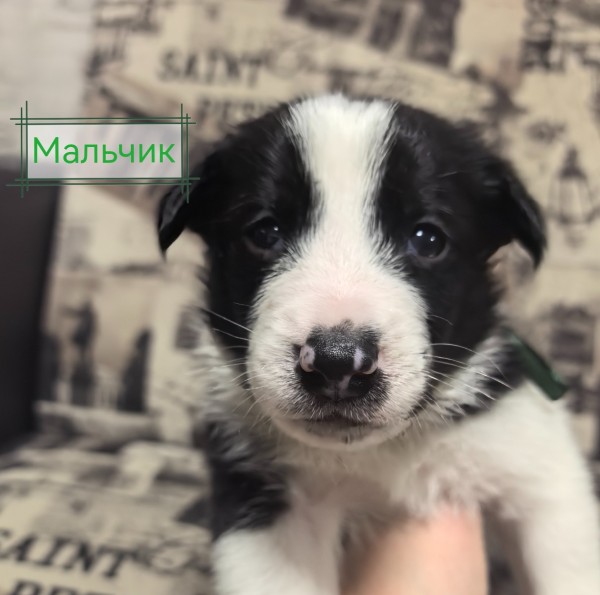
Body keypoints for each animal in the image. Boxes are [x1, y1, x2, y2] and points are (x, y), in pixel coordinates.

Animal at [158, 94, 600, 595]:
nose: (336, 363)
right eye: (265, 232)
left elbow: (567, 562)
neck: (376, 455)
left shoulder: (537, 468)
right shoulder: (263, 502)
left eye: (427, 239)